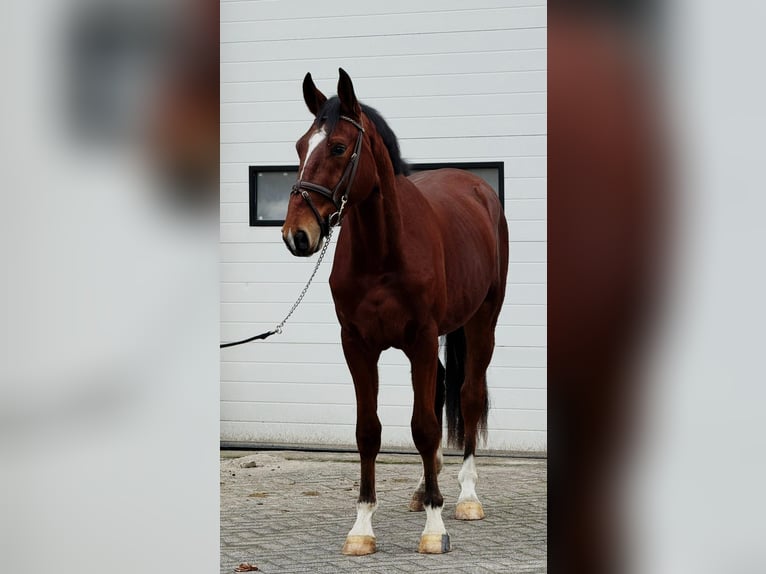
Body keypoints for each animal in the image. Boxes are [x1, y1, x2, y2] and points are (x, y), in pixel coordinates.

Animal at [281, 68, 509, 555]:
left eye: (338, 147)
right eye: (300, 146)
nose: (297, 235)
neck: (384, 250)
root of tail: (477, 188)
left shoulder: (420, 338)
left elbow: (423, 426)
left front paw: (434, 529)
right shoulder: (357, 345)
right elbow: (369, 430)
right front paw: (362, 528)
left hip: (482, 321)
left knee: (469, 395)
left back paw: (465, 498)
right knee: (441, 390)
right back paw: (425, 490)